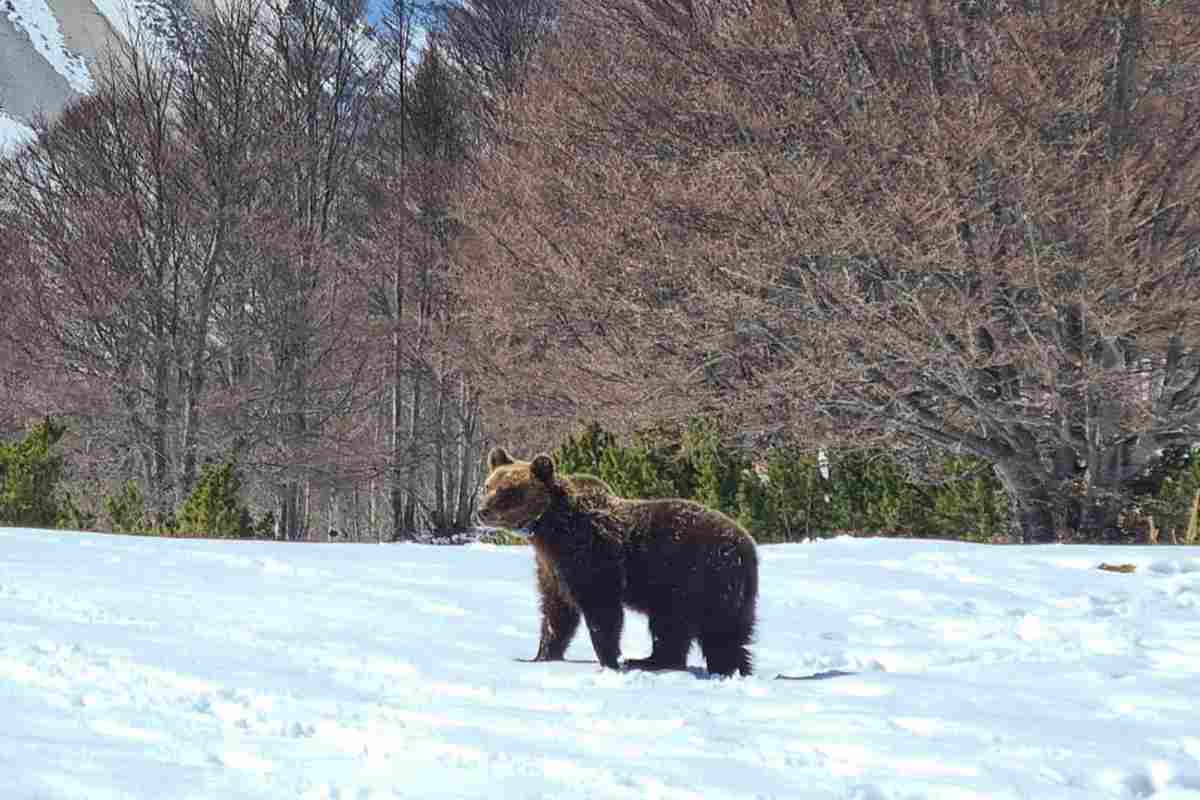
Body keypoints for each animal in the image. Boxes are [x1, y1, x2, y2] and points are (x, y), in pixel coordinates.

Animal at [477, 448, 758, 681]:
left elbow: (602, 610)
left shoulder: (591, 557)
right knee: (675, 628)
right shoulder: (551, 569)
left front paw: (609, 661)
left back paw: (718, 668)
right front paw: (540, 656)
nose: (482, 511)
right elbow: (556, 613)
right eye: (488, 485)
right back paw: (654, 661)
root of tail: (746, 544)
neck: (550, 529)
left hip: (701, 578)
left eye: (508, 491)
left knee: (715, 630)